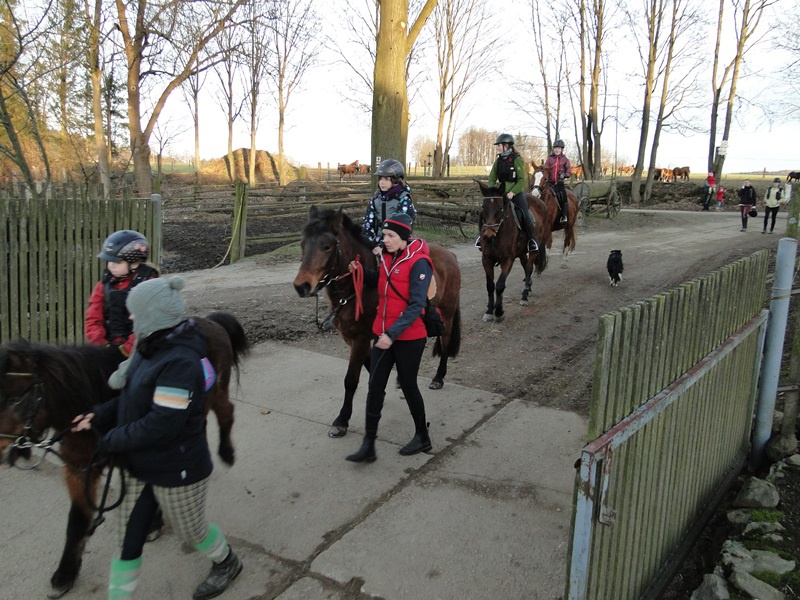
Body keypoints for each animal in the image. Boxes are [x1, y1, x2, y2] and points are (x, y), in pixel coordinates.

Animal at [0, 312, 249, 598]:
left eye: (15, 399)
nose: (1, 450)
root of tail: (211, 321)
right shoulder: (79, 469)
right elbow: (77, 521)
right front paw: (65, 574)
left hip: (218, 389)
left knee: (226, 411)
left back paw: (227, 453)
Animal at [292, 206, 462, 438]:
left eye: (326, 246)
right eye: (303, 244)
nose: (301, 286)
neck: (358, 288)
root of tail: (450, 255)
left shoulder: (362, 338)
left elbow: (351, 380)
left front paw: (341, 420)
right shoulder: (355, 338)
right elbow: (371, 366)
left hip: (446, 313)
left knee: (444, 342)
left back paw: (438, 378)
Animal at [474, 180, 549, 322]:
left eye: (500, 208)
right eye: (483, 207)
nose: (488, 236)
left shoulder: (508, 259)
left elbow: (500, 285)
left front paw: (499, 311)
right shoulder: (486, 259)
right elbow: (490, 285)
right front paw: (489, 311)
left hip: (533, 249)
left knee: (529, 268)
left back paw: (524, 296)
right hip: (521, 252)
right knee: (525, 266)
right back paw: (528, 286)